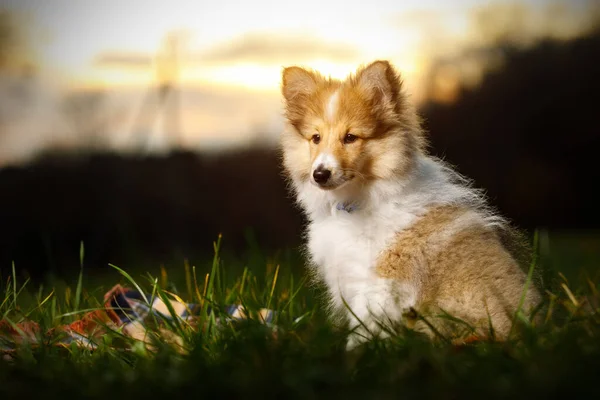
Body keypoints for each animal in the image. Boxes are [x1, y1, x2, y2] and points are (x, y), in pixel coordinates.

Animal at [278, 60, 540, 350]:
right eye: (315, 138)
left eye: (350, 137)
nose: (320, 174)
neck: (357, 199)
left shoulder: (379, 283)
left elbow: (362, 329)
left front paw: (355, 355)